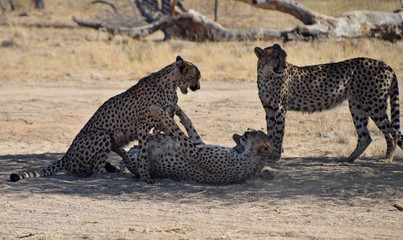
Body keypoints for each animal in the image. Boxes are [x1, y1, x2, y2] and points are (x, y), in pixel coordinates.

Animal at [10, 56, 202, 184]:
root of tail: (67, 154)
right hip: (101, 135)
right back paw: (111, 173)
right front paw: (146, 176)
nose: (198, 87)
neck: (171, 83)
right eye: (196, 77)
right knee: (95, 172)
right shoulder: (143, 125)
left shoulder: (161, 122)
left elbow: (176, 132)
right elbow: (144, 151)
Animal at [120, 106, 276, 185]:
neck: (244, 152)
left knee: (123, 153)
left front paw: (159, 112)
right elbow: (189, 126)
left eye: (255, 133)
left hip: (136, 160)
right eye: (251, 129)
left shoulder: (195, 152)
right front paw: (178, 110)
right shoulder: (199, 144)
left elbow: (177, 129)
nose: (246, 131)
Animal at [258, 43, 402, 163]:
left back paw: (387, 159)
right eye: (276, 57)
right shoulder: (269, 109)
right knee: (365, 137)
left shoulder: (280, 108)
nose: (284, 66)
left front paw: (276, 156)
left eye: (284, 57)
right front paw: (271, 155)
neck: (266, 74)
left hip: (374, 104)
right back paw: (349, 159)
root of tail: (385, 64)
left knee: (392, 132)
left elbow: (278, 133)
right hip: (356, 106)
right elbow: (271, 132)